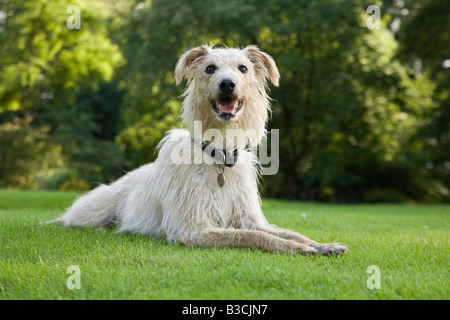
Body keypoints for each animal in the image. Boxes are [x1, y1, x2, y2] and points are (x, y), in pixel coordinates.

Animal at [53, 44, 348, 255]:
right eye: (209, 68)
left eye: (243, 68)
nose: (227, 83)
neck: (218, 156)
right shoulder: (192, 230)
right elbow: (253, 236)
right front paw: (297, 248)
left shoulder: (247, 217)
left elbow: (283, 231)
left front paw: (321, 244)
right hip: (94, 211)